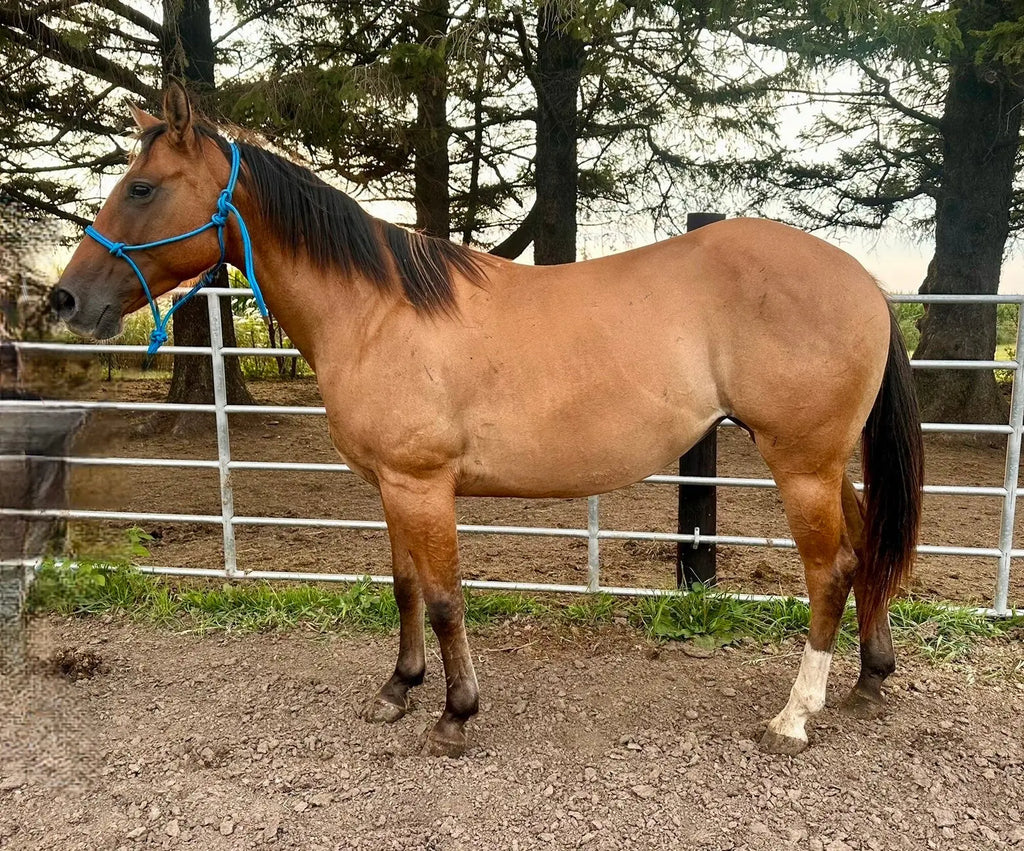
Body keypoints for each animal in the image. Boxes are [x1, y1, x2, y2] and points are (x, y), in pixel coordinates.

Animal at [53, 83, 923, 757]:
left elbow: (444, 599)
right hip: (825, 461)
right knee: (867, 548)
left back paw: (794, 716)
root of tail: (863, 279)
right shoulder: (391, 486)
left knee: (832, 570)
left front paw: (453, 715)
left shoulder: (422, 485)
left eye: (141, 187)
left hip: (799, 461)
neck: (376, 311)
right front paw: (396, 688)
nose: (65, 299)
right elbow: (405, 587)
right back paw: (869, 678)